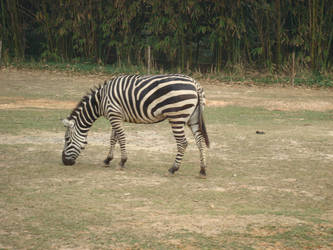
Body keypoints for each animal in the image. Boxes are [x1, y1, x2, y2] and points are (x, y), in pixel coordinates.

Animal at [61, 73, 209, 176]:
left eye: (67, 139)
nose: (64, 162)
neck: (100, 101)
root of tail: (195, 84)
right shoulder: (116, 116)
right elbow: (113, 138)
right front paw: (108, 159)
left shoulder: (114, 114)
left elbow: (121, 137)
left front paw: (122, 161)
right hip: (193, 118)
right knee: (199, 141)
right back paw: (202, 170)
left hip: (177, 116)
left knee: (183, 143)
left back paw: (173, 169)